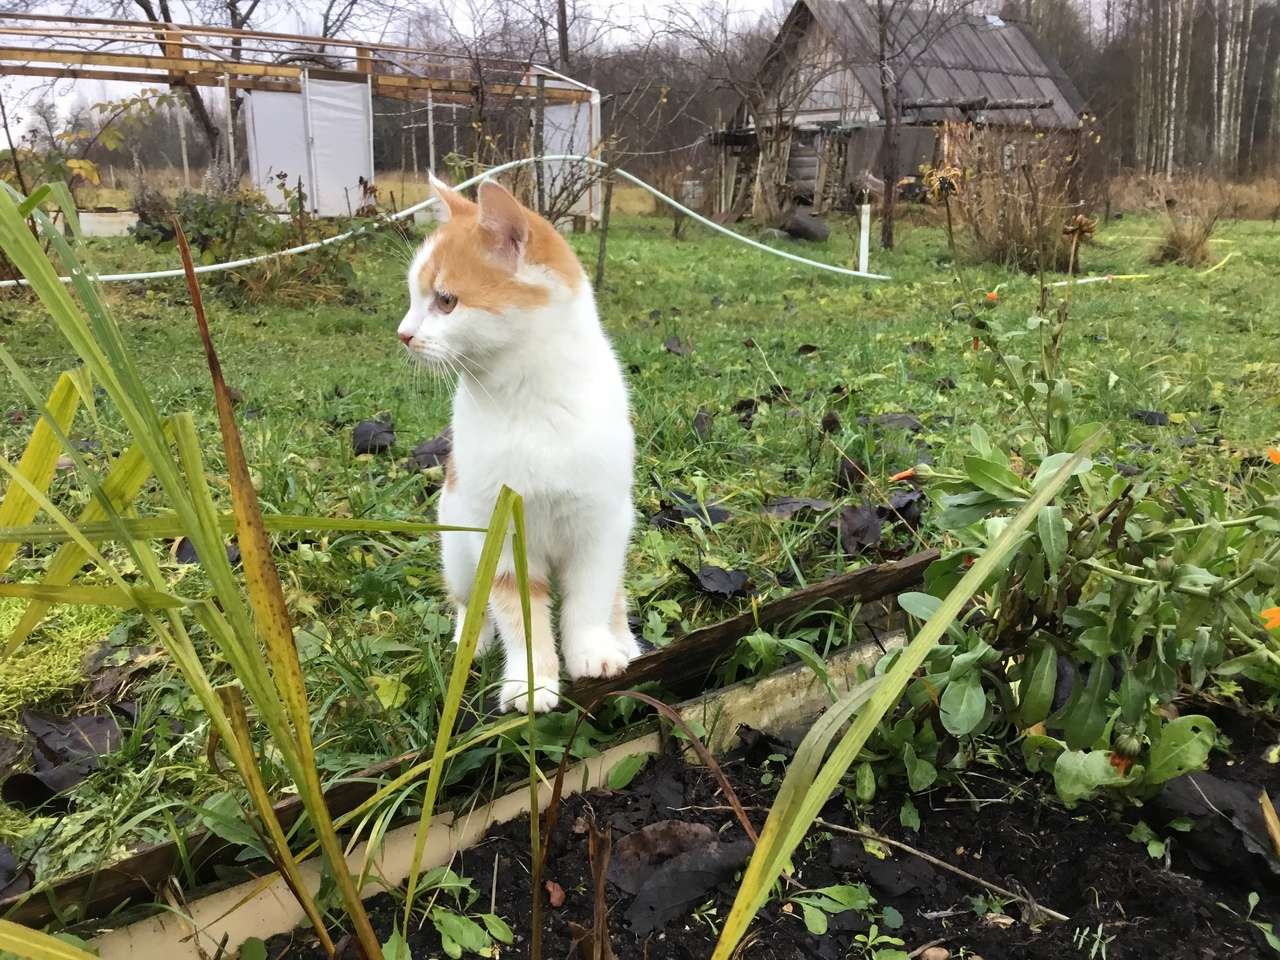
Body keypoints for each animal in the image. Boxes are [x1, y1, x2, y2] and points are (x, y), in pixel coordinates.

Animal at [396, 179, 637, 716]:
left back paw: (623, 638)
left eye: (446, 301)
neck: (529, 402)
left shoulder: (600, 524)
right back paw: (470, 640)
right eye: (414, 299)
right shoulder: (499, 531)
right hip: (457, 547)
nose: (404, 334)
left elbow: (590, 595)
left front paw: (592, 649)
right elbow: (517, 611)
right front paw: (532, 682)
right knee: (469, 600)